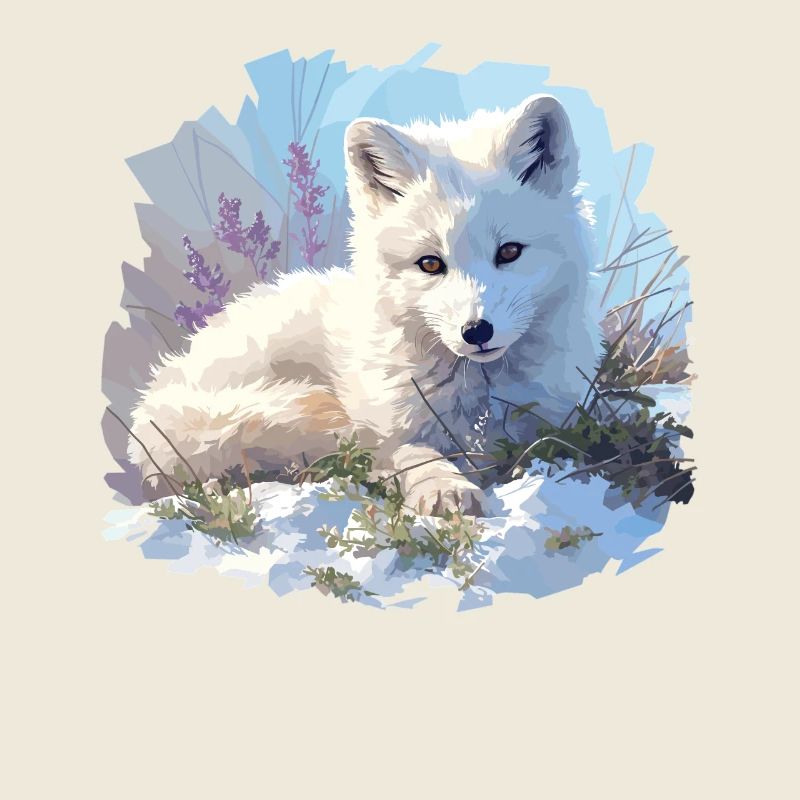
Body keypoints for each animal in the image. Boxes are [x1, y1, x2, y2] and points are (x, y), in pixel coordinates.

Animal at [128, 93, 602, 515]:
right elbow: (413, 455)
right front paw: (445, 487)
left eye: (509, 252)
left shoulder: (551, 422)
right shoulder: (388, 431)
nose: (476, 331)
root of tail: (161, 384)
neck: (477, 399)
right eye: (431, 263)